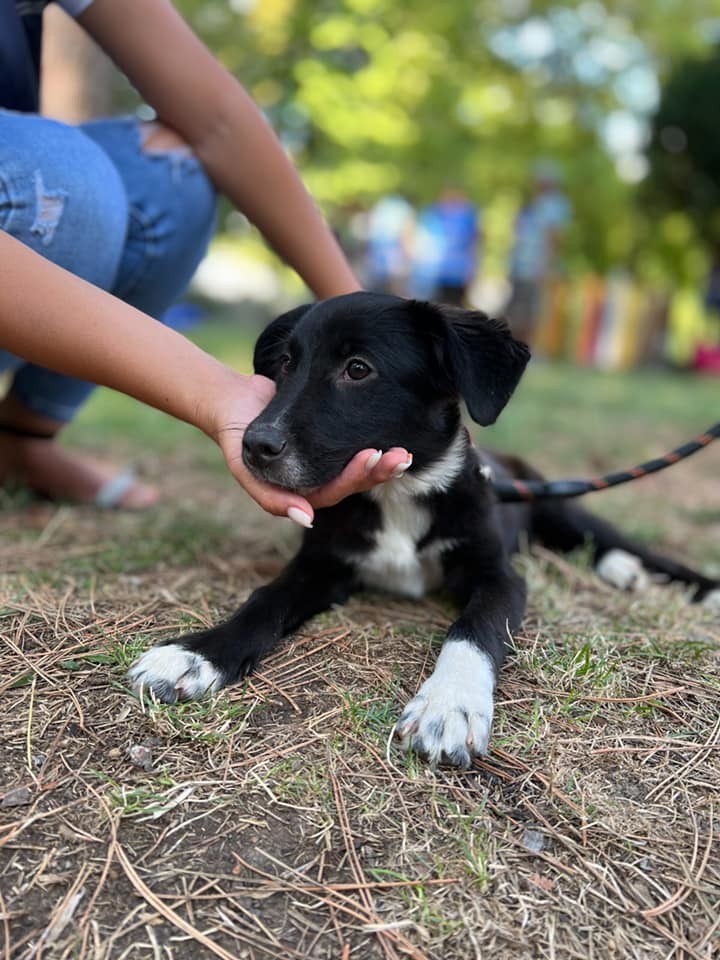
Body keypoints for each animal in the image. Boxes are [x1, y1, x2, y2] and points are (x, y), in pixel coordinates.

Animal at [129, 290, 720, 764]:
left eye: (358, 369)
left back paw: (682, 583)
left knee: (621, 544)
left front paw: (449, 704)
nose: (254, 445)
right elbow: (263, 601)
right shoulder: (321, 564)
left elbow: (474, 630)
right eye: (286, 363)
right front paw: (195, 654)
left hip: (561, 502)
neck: (399, 495)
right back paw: (625, 573)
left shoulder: (497, 576)